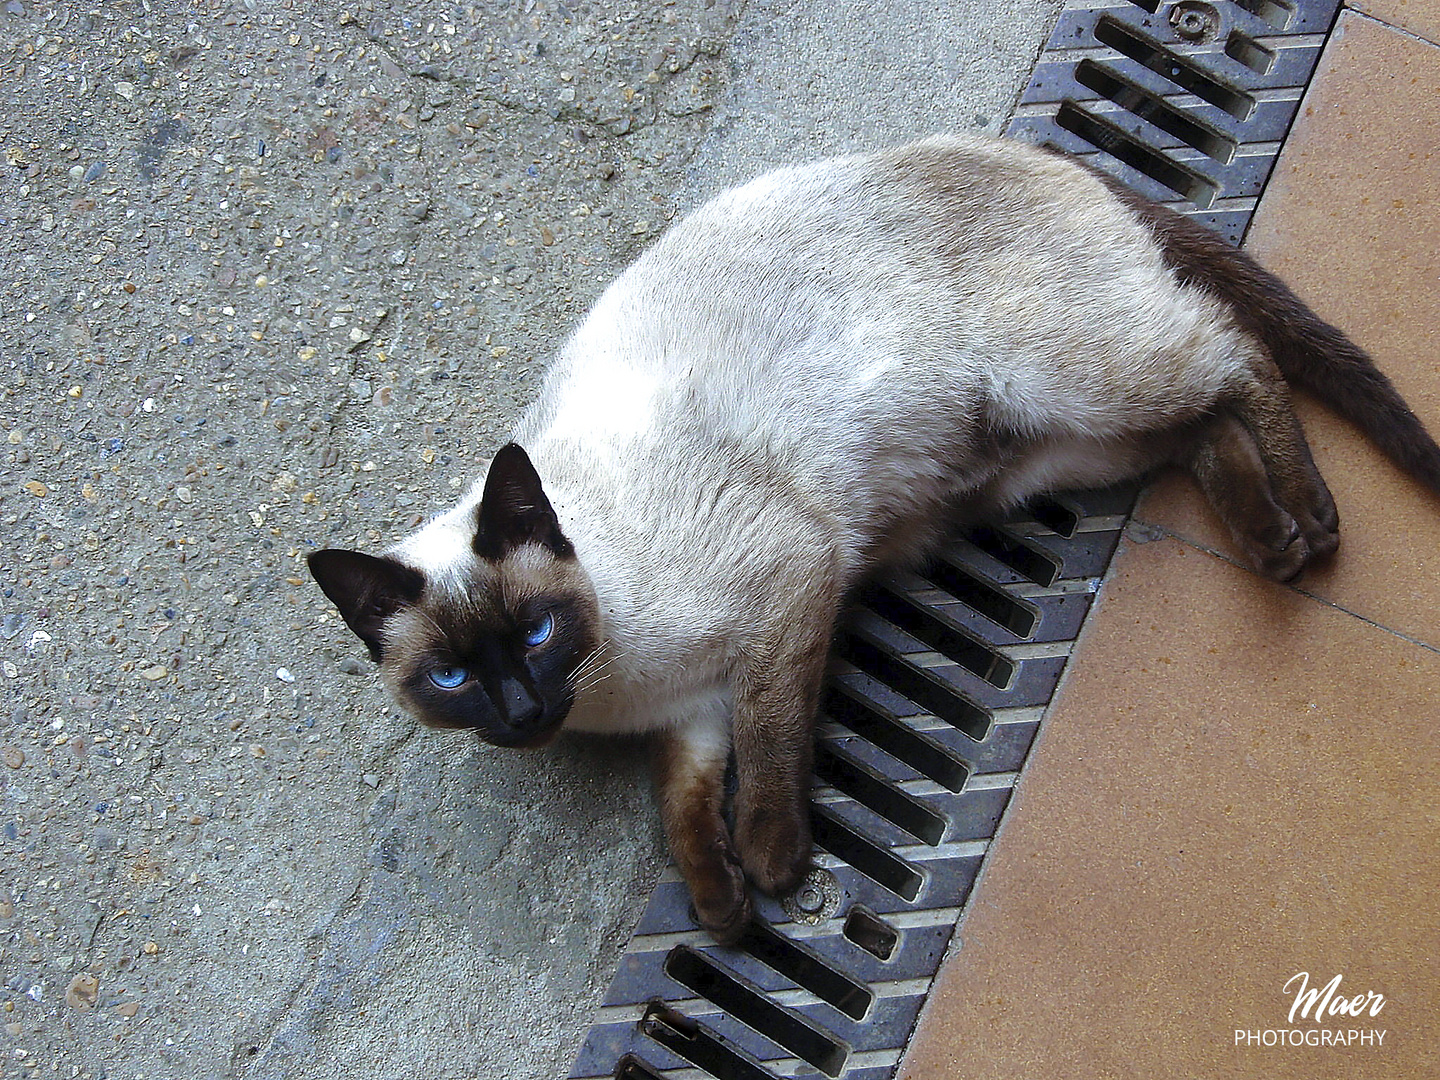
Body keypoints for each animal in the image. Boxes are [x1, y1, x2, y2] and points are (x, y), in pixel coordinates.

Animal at [306, 133, 1440, 944]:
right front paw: (720, 906)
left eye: (535, 636)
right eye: (451, 679)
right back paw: (1270, 539)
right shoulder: (693, 714)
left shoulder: (786, 597)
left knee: (1238, 354)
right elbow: (682, 810)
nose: (519, 713)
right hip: (1066, 447)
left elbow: (769, 751)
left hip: (1075, 381)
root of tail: (1043, 154)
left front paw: (771, 866)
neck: (618, 684)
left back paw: (1311, 522)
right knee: (1201, 426)